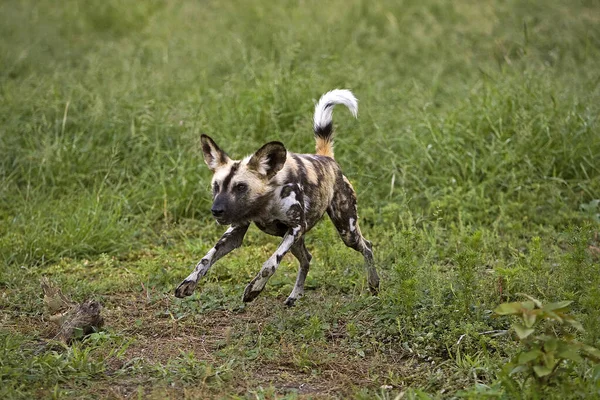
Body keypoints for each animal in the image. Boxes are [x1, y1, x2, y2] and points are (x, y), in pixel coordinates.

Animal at [173, 89, 380, 304]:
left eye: (240, 187)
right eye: (216, 186)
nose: (216, 211)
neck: (264, 205)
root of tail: (327, 159)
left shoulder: (296, 227)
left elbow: (270, 264)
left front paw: (254, 289)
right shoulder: (237, 230)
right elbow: (205, 259)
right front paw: (189, 283)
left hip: (346, 231)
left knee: (367, 246)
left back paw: (374, 285)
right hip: (294, 237)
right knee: (307, 259)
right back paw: (295, 296)